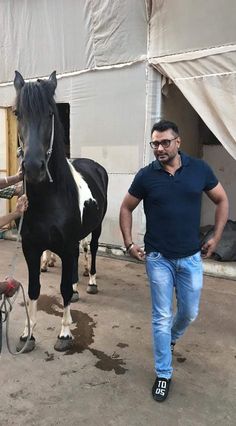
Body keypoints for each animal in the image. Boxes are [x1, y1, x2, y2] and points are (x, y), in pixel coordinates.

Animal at [13, 71, 108, 352]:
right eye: (17, 113)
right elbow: (33, 288)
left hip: (96, 228)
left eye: (50, 113)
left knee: (92, 250)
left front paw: (65, 333)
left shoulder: (66, 246)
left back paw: (90, 282)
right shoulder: (31, 248)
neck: (49, 200)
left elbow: (64, 288)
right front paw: (28, 333)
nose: (33, 167)